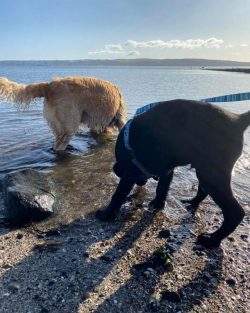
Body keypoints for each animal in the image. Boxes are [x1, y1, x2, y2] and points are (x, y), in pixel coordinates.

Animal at [96, 98, 249, 247]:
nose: (141, 184)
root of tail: (238, 120)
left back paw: (212, 240)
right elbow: (161, 189)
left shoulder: (129, 173)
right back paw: (192, 202)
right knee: (203, 191)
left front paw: (105, 214)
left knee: (236, 213)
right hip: (206, 171)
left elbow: (118, 195)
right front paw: (158, 204)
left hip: (211, 174)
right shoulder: (167, 170)